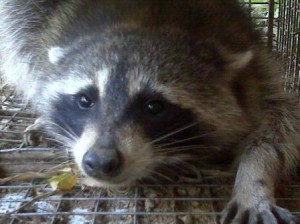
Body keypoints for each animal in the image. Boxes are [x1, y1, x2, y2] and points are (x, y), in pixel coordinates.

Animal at [0, 0, 300, 223]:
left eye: (154, 107)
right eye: (85, 100)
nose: (100, 161)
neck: (144, 24)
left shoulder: (256, 73)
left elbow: (279, 127)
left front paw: (254, 177)